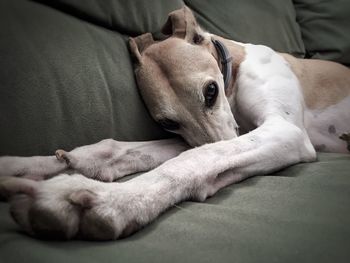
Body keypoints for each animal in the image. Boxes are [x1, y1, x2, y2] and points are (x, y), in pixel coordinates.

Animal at [0, 6, 348, 241]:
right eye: (168, 123)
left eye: (211, 91)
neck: (233, 70)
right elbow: (121, 150)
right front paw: (23, 165)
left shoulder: (284, 131)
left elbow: (199, 156)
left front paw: (108, 199)